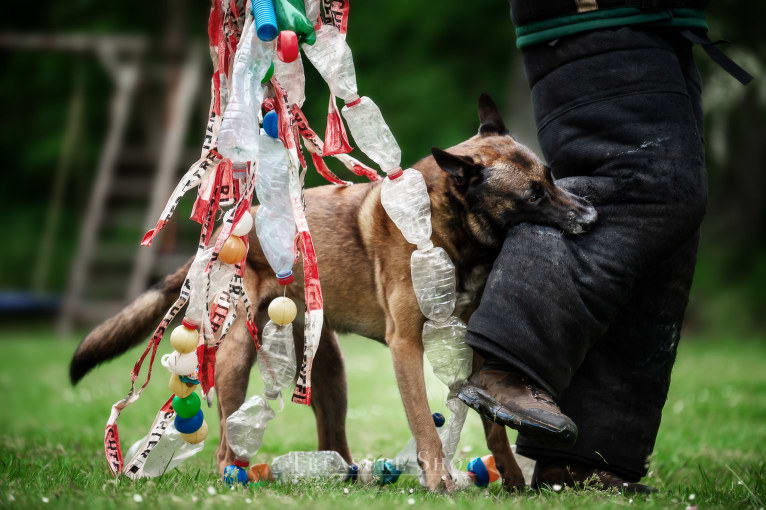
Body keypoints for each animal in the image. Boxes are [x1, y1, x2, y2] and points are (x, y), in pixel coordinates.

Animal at [70, 94, 600, 490]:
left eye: (551, 178)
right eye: (533, 195)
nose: (592, 216)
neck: (443, 227)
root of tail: (225, 232)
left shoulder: (472, 342)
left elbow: (493, 425)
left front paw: (511, 479)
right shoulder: (405, 346)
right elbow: (423, 424)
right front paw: (439, 481)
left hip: (327, 365)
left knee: (332, 436)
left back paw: (346, 477)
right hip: (237, 353)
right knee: (225, 441)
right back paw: (235, 479)